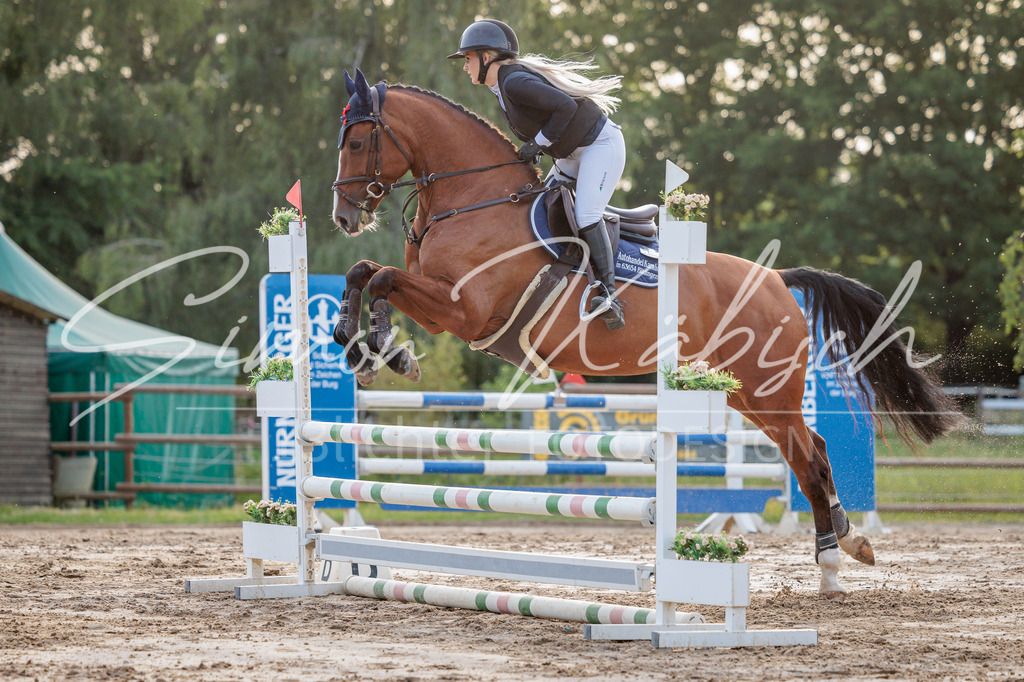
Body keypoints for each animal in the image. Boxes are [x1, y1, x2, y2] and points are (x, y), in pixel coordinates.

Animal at [329, 69, 962, 599]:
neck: (471, 202)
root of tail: (777, 279)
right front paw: (359, 342)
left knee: (810, 462)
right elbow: (366, 272)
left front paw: (384, 348)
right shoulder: (445, 309)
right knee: (817, 451)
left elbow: (382, 277)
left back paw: (832, 566)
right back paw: (851, 542)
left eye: (357, 143)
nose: (343, 217)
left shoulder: (465, 311)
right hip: (746, 394)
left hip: (769, 391)